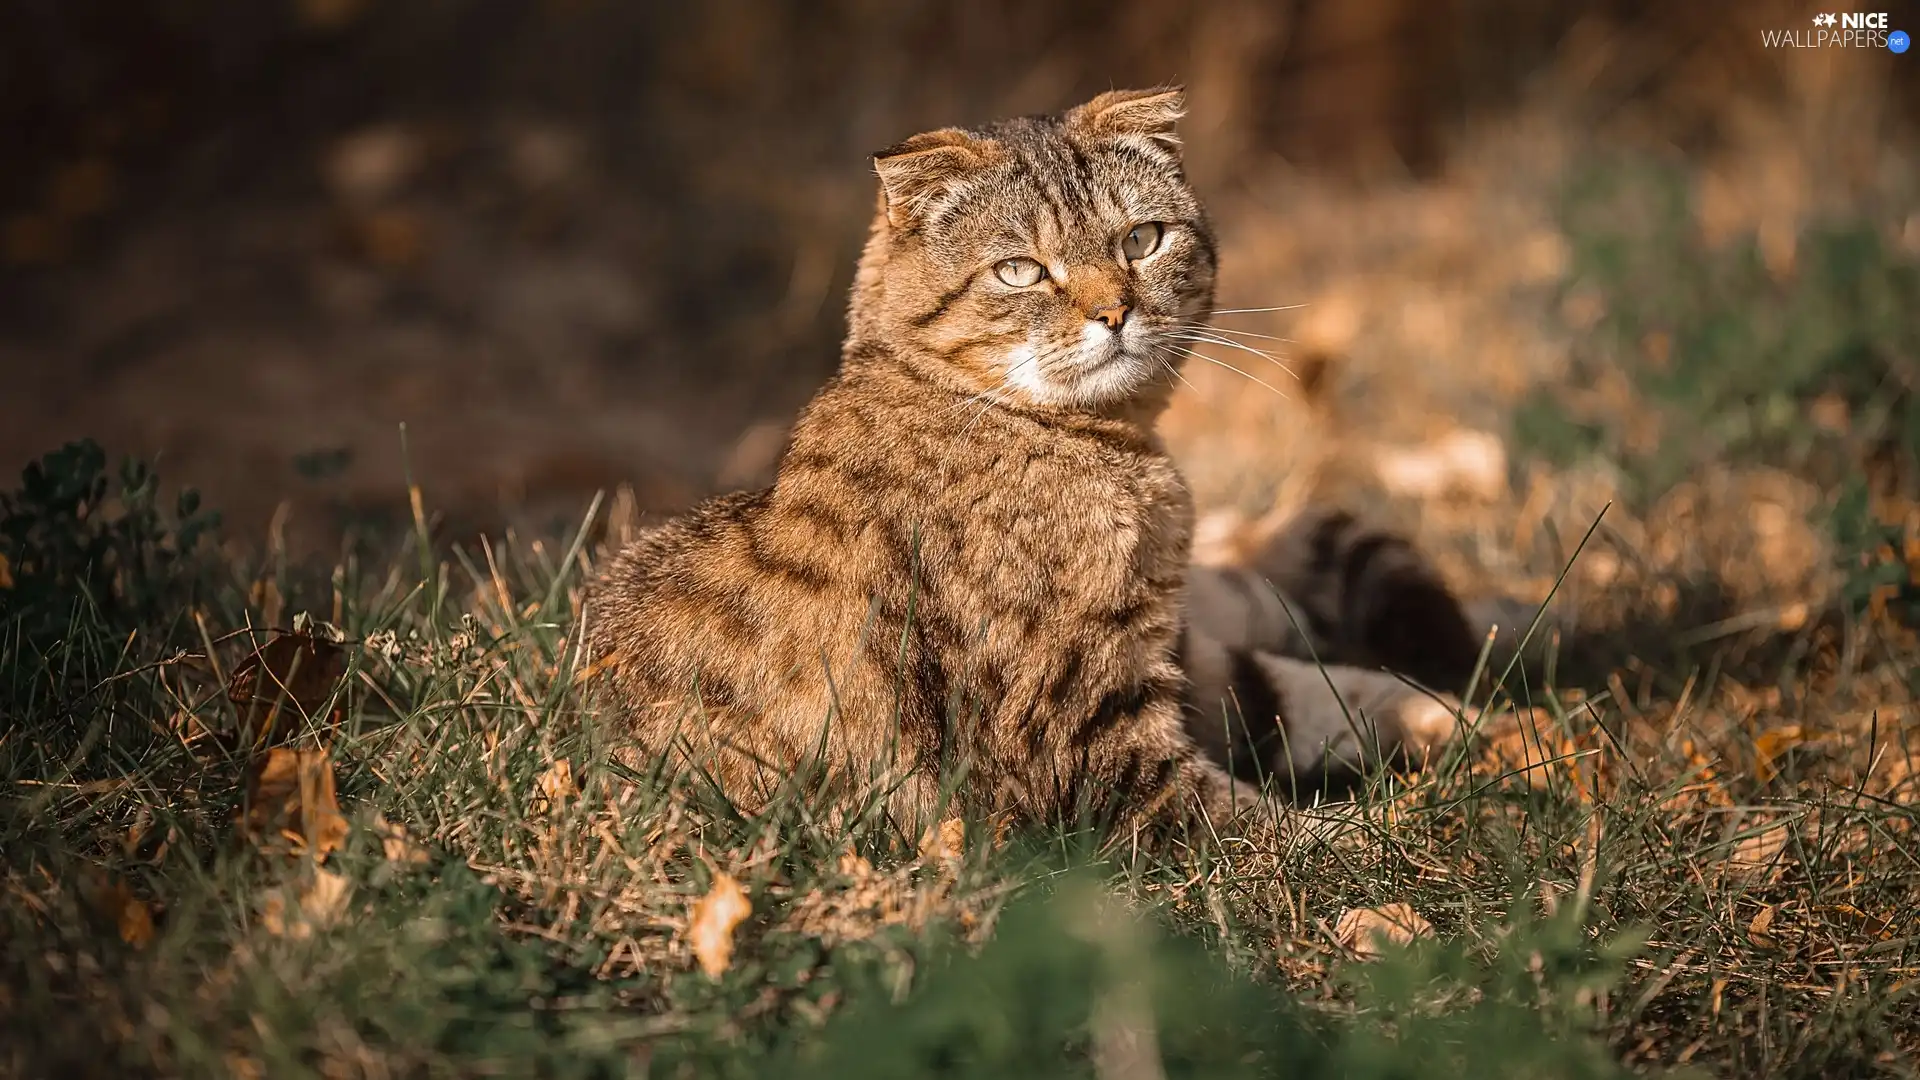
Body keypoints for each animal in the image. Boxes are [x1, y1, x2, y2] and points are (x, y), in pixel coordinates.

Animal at [583, 88, 1482, 837]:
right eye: (1020, 270)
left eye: (1142, 239)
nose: (1114, 312)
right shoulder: (1086, 742)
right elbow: (1277, 833)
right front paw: (1402, 825)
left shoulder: (1164, 654)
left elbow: (1309, 691)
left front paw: (1475, 725)